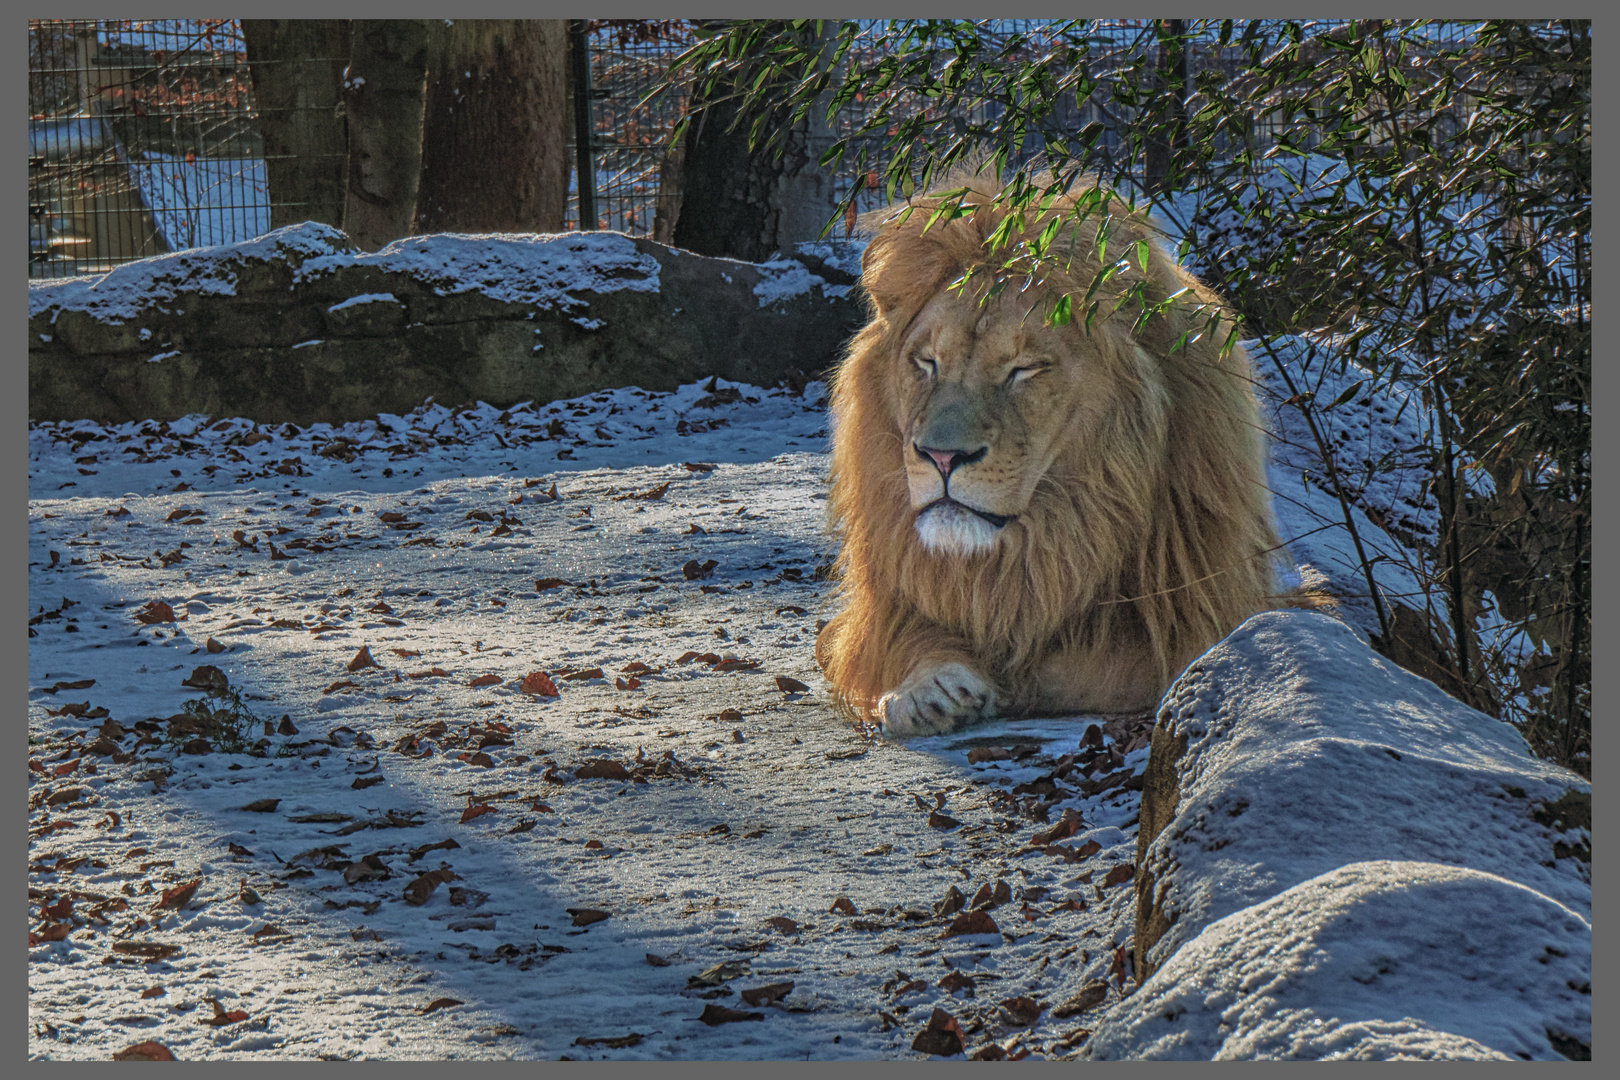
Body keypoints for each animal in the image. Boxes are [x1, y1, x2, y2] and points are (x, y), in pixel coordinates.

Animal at [816, 170, 1283, 735]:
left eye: (1025, 369)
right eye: (926, 362)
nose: (941, 458)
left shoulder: (1212, 612)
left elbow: (1094, 668)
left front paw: (1011, 682)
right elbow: (898, 644)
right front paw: (929, 688)